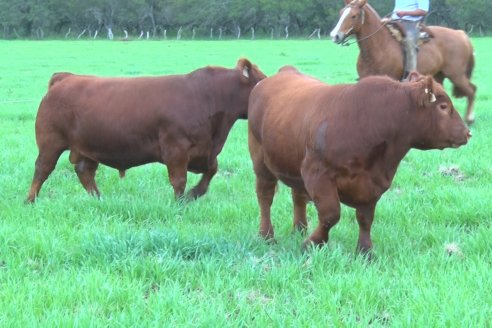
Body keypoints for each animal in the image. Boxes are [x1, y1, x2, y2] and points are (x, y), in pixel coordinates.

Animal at [26, 58, 266, 202]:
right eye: (262, 81)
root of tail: (67, 77)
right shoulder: (176, 149)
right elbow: (179, 180)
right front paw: (180, 203)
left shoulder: (204, 151)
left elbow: (212, 170)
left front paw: (194, 194)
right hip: (50, 142)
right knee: (42, 169)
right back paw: (30, 200)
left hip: (88, 147)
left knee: (84, 171)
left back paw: (99, 199)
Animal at [248, 65, 470, 252]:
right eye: (443, 106)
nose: (468, 133)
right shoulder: (317, 173)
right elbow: (330, 214)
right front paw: (313, 242)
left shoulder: (373, 183)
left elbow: (365, 219)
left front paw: (365, 251)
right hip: (261, 161)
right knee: (265, 197)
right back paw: (267, 235)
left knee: (298, 196)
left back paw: (299, 229)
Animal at [330, 0, 476, 124]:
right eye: (341, 13)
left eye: (353, 16)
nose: (334, 36)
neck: (379, 46)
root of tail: (461, 34)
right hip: (439, 75)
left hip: (456, 75)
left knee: (471, 90)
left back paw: (469, 119)